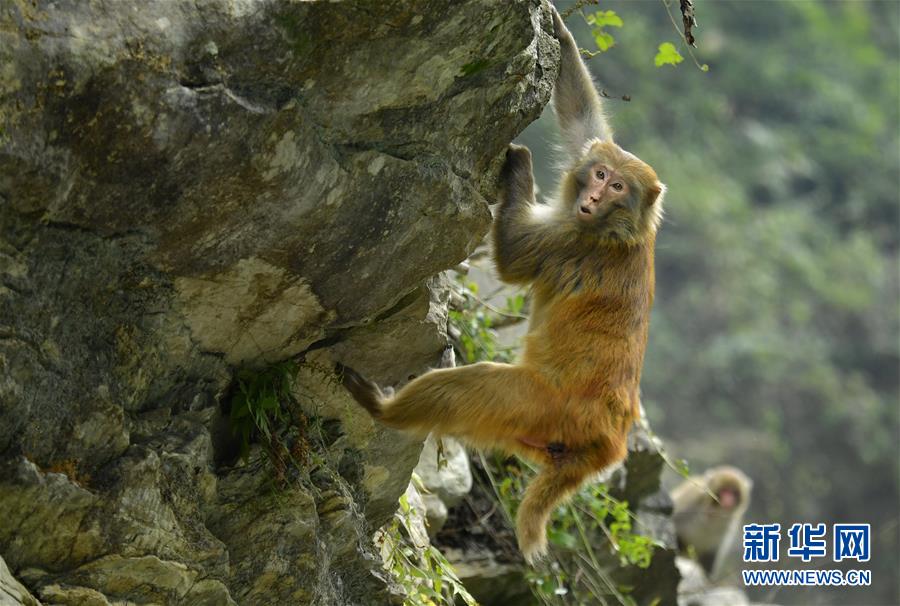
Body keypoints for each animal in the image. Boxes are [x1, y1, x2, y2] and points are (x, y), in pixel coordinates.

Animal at [334, 7, 664, 564]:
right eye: (599, 173)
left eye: (618, 187)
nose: (594, 196)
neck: (617, 229)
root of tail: (607, 444)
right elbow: (584, 123)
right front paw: (559, 35)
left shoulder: (570, 243)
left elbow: (512, 261)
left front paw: (520, 164)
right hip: (533, 436)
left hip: (540, 404)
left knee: (476, 388)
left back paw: (386, 410)